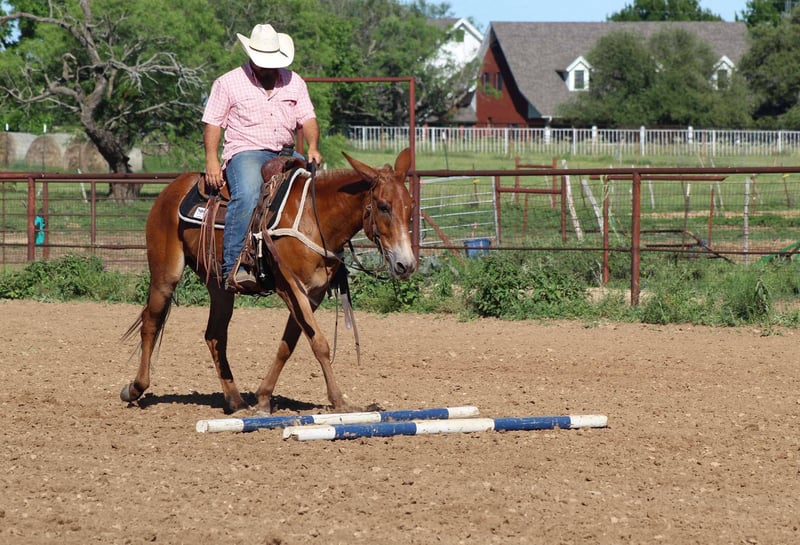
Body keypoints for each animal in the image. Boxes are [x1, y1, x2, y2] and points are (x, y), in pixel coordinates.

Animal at [120, 148, 417, 414]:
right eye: (383, 206)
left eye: (411, 207)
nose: (407, 264)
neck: (314, 216)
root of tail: (173, 188)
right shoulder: (291, 287)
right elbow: (320, 344)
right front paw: (340, 402)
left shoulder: (313, 295)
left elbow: (288, 345)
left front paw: (263, 399)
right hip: (165, 274)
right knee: (151, 322)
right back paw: (135, 388)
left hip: (219, 286)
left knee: (215, 336)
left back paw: (236, 402)